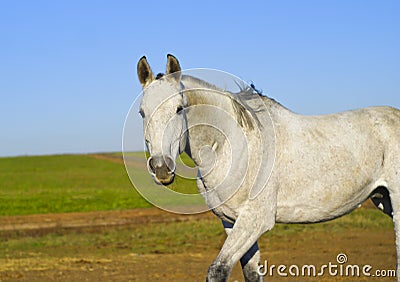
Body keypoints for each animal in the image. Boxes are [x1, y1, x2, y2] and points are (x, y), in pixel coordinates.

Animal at [136, 54, 398, 280]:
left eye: (179, 108)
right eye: (141, 112)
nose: (161, 168)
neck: (234, 144)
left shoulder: (254, 220)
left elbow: (218, 270)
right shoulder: (232, 222)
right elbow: (252, 273)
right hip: (383, 199)